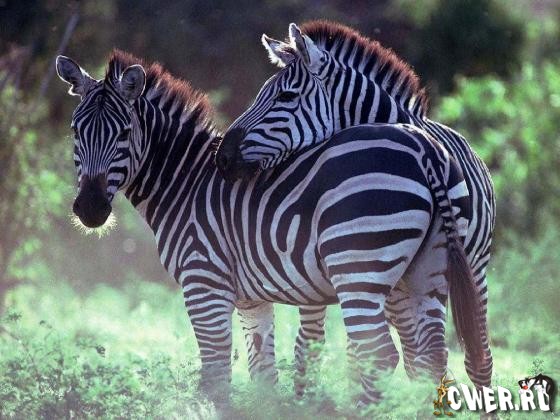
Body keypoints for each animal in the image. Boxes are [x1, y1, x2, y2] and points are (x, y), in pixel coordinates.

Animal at [56, 50, 481, 406]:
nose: (90, 208)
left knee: (379, 354)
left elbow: (215, 377)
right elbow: (262, 373)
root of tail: (424, 147)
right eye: (75, 131)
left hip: (358, 267)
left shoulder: (204, 284)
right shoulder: (250, 299)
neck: (186, 183)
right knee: (431, 356)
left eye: (124, 133)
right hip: (427, 271)